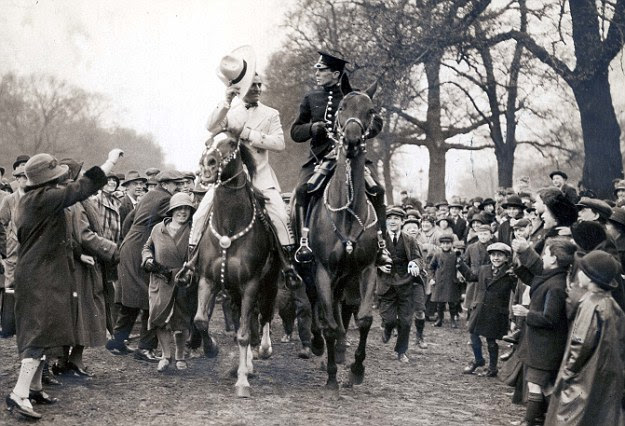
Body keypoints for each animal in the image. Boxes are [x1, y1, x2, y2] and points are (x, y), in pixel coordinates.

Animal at [190, 131, 278, 398]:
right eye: (208, 142)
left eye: (231, 142)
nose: (208, 164)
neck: (230, 226)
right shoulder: (208, 280)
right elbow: (200, 320)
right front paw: (211, 348)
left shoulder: (251, 284)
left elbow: (243, 335)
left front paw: (242, 383)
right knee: (244, 318)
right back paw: (246, 364)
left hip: (270, 283)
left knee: (264, 315)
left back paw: (263, 350)